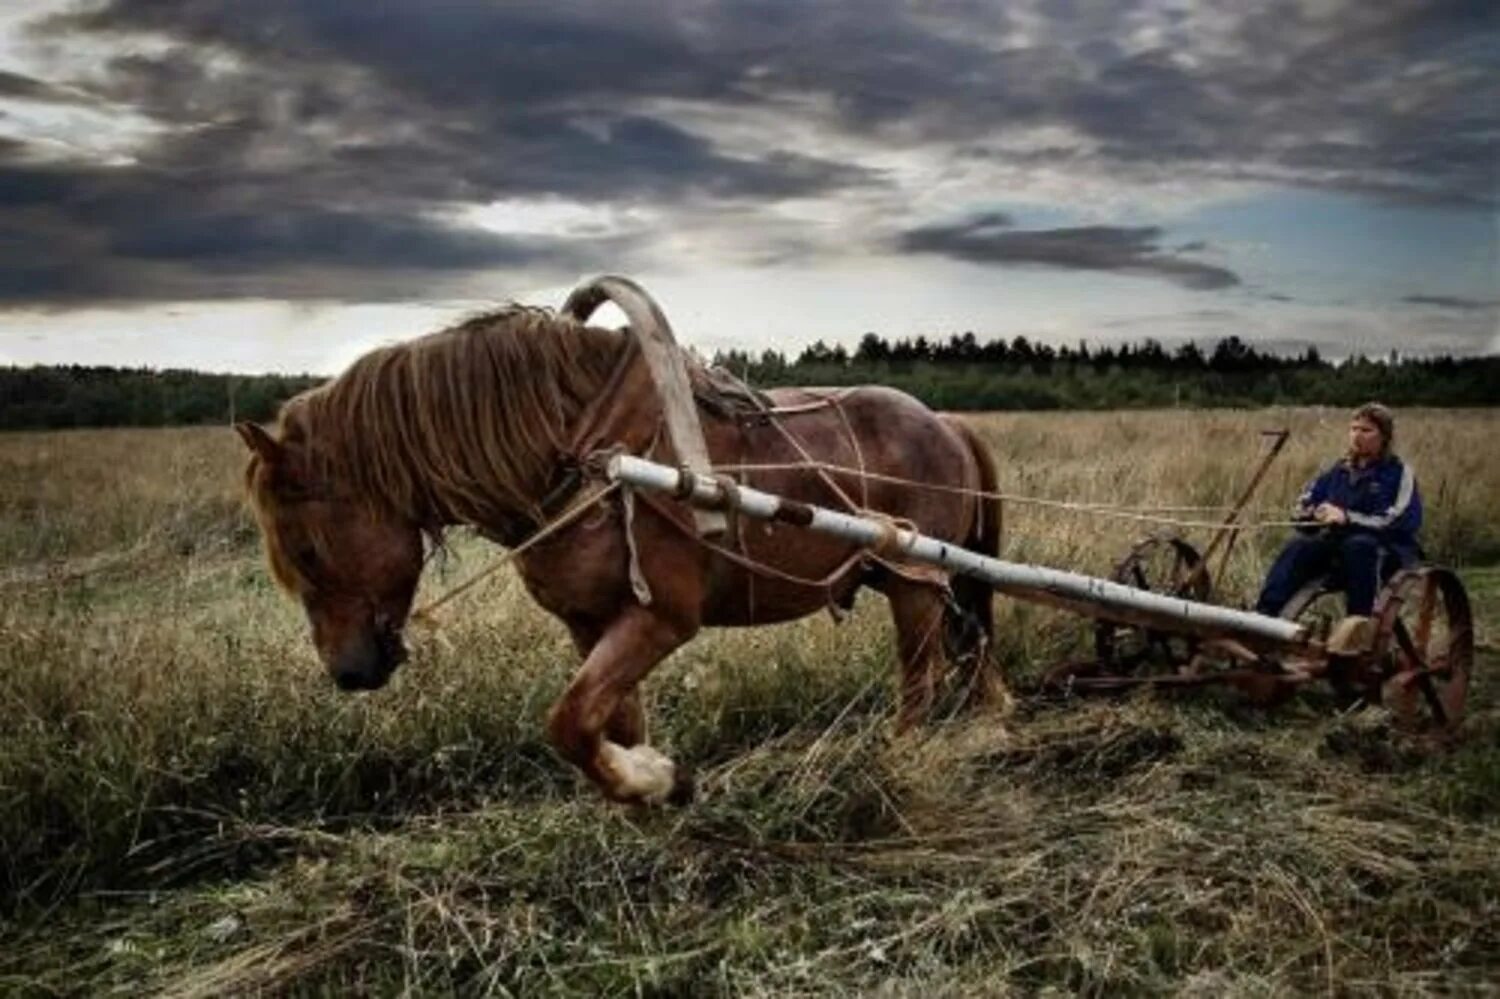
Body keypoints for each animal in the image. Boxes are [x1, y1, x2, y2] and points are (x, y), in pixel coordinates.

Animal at [237, 277, 1008, 804]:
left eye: (305, 550)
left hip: (913, 582)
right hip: (923, 583)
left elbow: (569, 722)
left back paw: (898, 759)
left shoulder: (661, 616)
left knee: (920, 679)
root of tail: (946, 422)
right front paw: (655, 788)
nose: (347, 673)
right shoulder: (591, 623)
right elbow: (610, 721)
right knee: (969, 649)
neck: (587, 456)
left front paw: (653, 782)